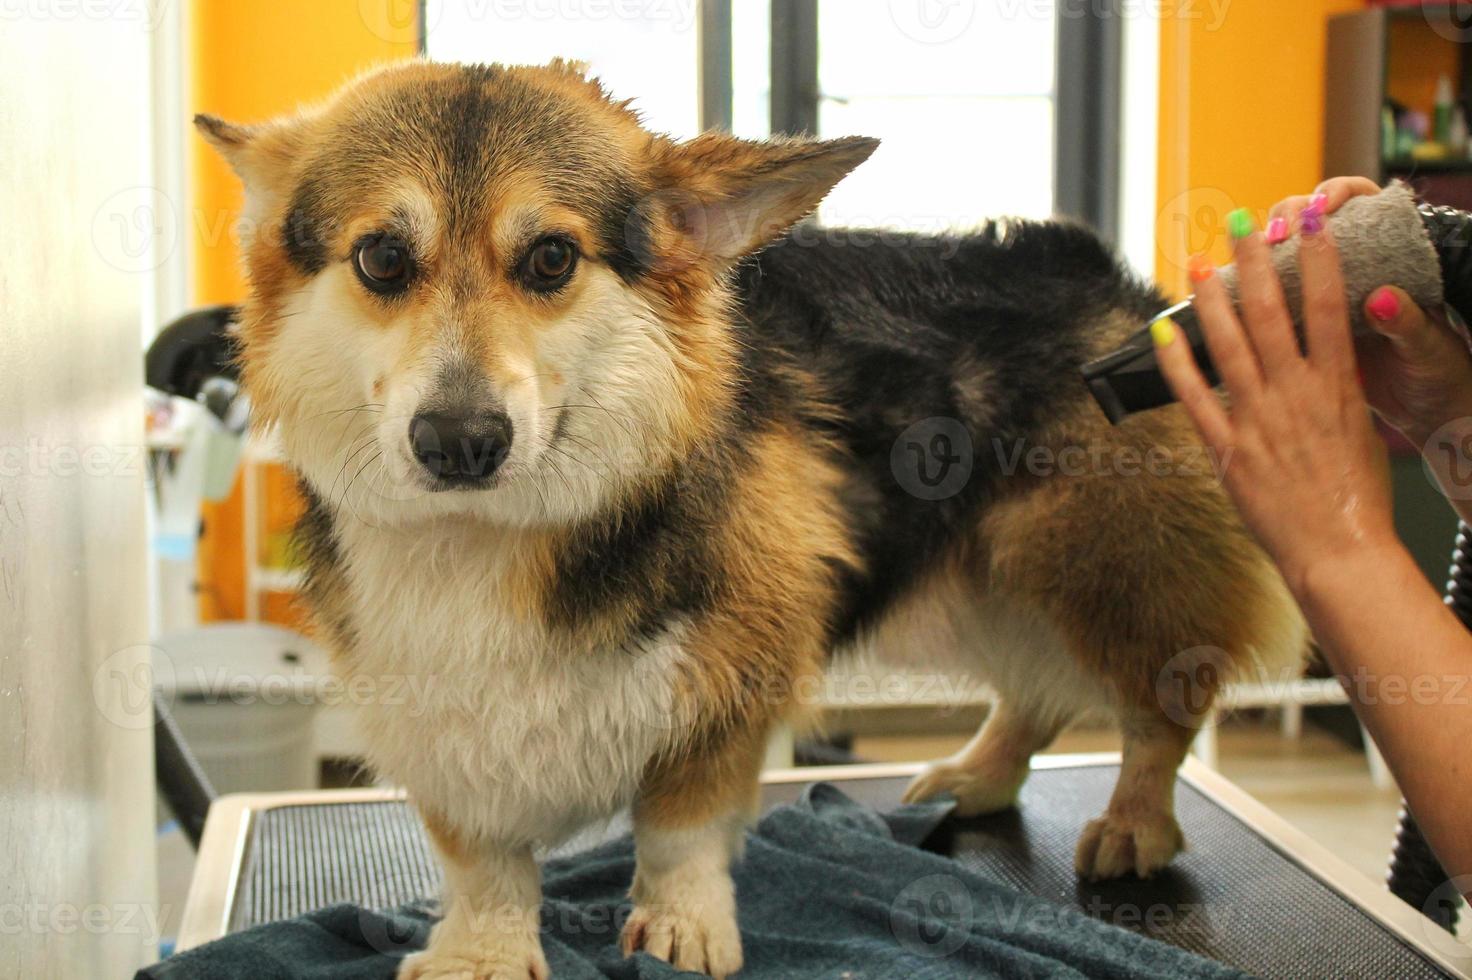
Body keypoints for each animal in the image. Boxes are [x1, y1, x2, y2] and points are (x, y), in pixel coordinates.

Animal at [201, 59, 1307, 977]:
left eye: (551, 258)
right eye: (383, 259)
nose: (461, 441)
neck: (494, 534)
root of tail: (1100, 271)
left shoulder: (730, 667)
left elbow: (681, 826)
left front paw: (684, 926)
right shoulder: (436, 708)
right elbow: (483, 859)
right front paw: (483, 949)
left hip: (1091, 562)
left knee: (1158, 703)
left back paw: (1132, 822)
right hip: (981, 578)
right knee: (1030, 691)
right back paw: (977, 777)